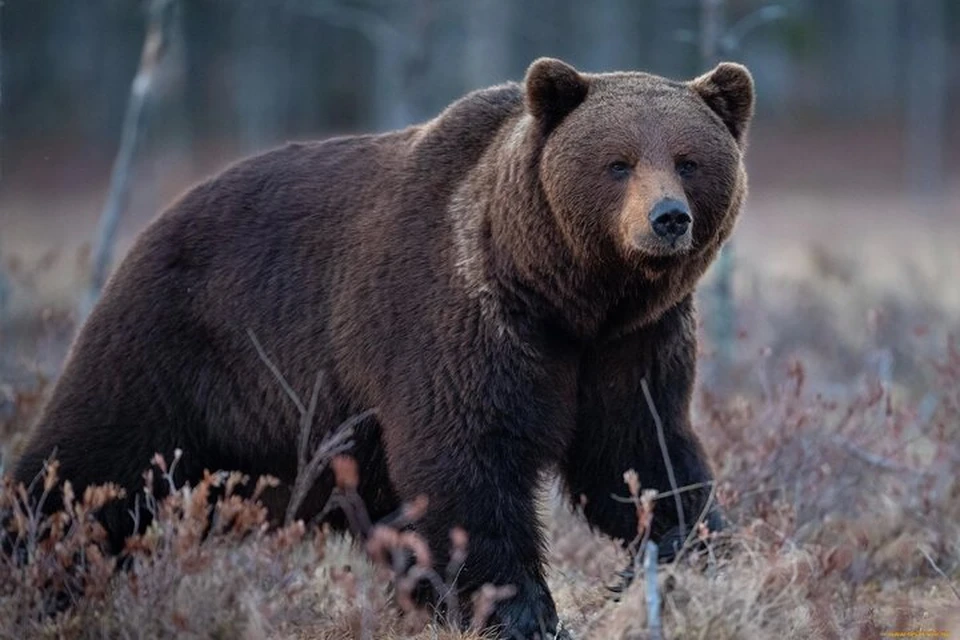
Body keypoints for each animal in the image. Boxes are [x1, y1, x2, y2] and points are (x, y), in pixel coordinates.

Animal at [11, 57, 752, 636]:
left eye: (689, 160)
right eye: (617, 162)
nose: (667, 219)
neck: (567, 296)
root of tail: (154, 225)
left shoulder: (631, 344)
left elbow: (638, 454)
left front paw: (697, 552)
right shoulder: (457, 322)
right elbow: (466, 462)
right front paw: (521, 611)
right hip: (172, 346)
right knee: (90, 468)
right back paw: (37, 566)